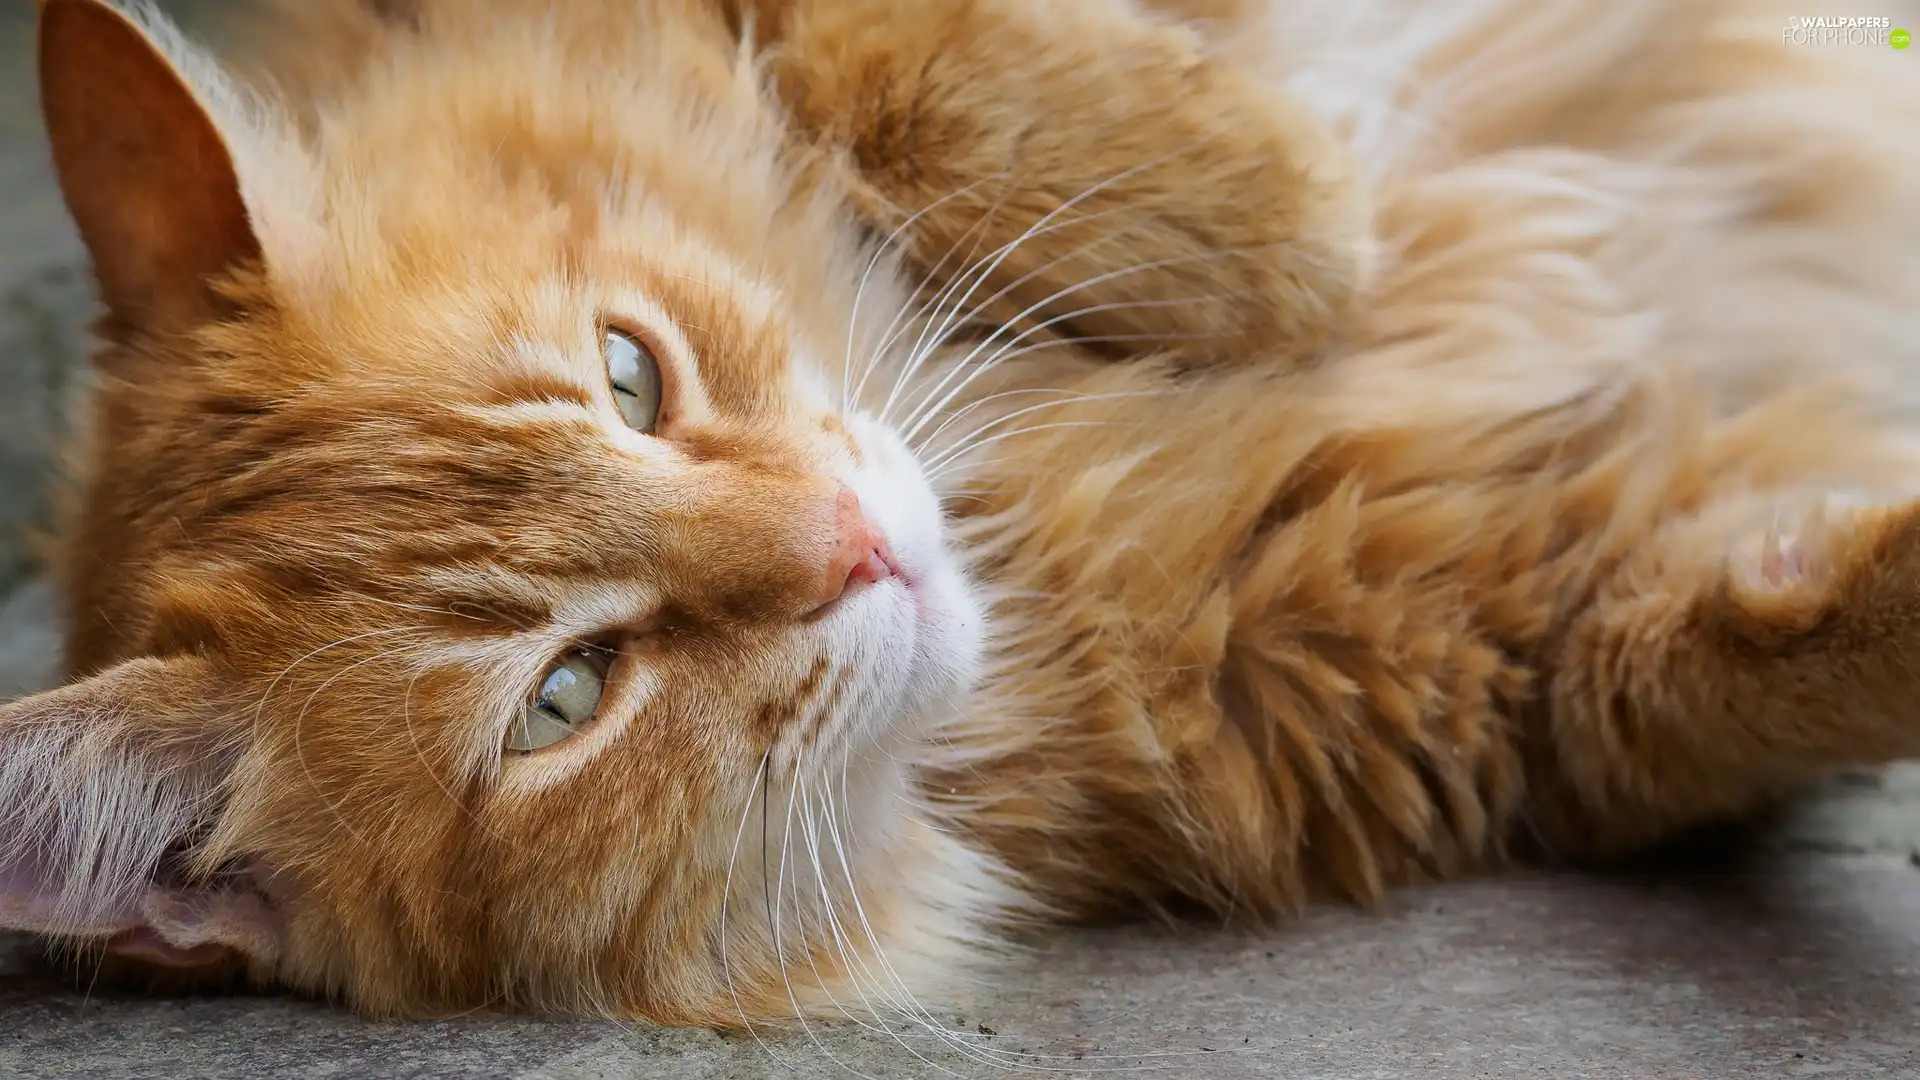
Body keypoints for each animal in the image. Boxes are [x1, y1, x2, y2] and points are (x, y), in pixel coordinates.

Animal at [3, 0, 1920, 1037]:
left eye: (630, 377)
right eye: (565, 699)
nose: (851, 542)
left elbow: (899, 67)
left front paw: (1280, 212)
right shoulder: (1525, 660)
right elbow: (1796, 636)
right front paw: (1315, 225)